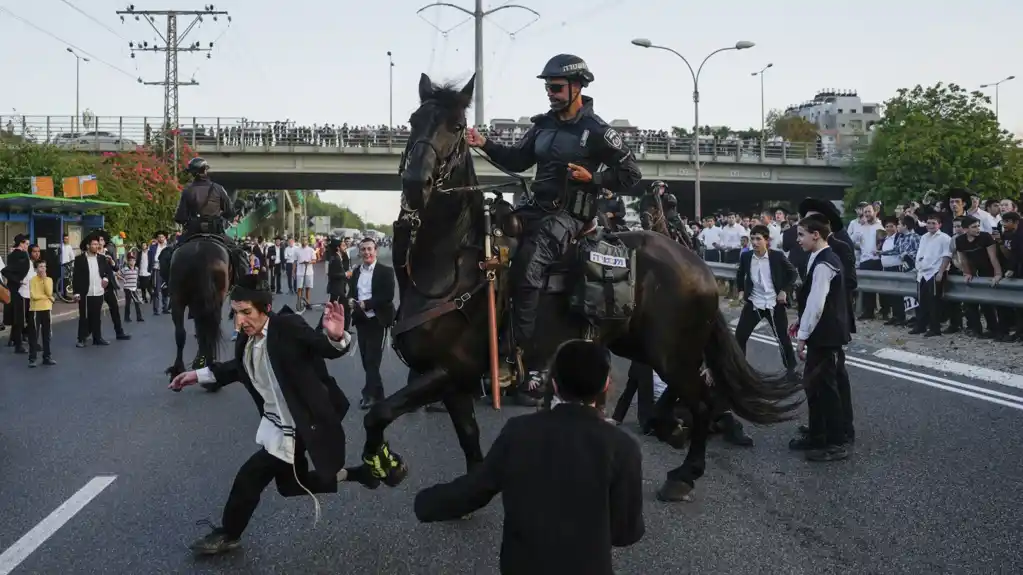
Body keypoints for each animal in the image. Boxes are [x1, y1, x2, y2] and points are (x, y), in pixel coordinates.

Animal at [349, 72, 797, 501]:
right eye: (413, 121)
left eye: (456, 126)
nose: (415, 183)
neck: (451, 263)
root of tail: (697, 264)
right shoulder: (452, 378)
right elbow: (467, 439)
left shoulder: (449, 369)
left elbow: (379, 414)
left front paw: (381, 465)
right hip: (642, 344)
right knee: (687, 390)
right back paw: (666, 427)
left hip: (673, 350)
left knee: (701, 400)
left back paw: (683, 472)